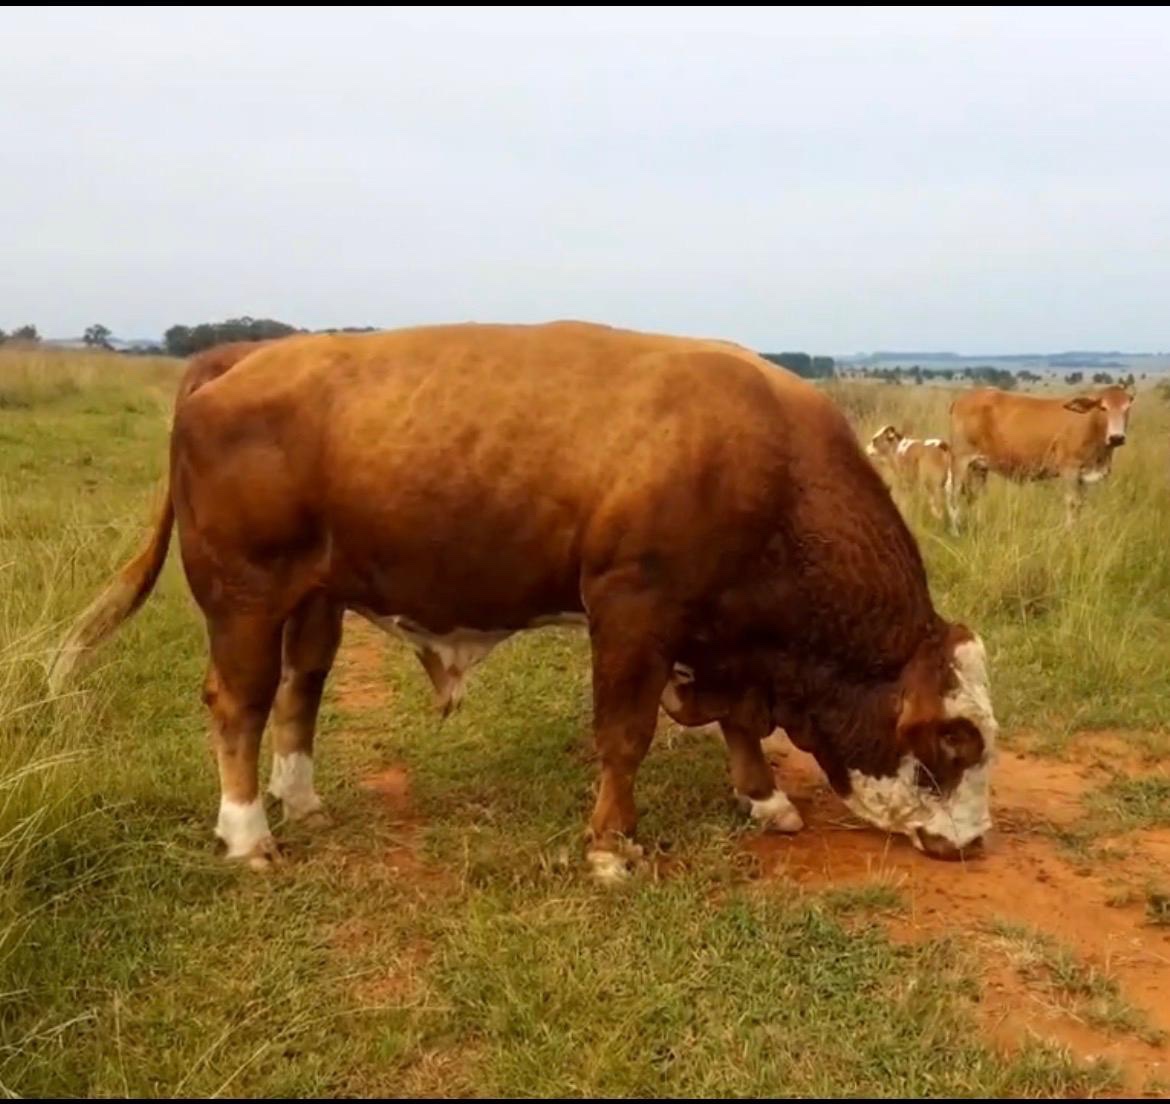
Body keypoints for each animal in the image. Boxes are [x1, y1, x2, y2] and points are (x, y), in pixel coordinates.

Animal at [50, 320, 999, 881]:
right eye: (955, 739)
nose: (975, 840)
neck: (770, 465)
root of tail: (237, 359)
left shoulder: (718, 632)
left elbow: (737, 721)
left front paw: (764, 800)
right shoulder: (635, 610)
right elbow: (625, 735)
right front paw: (611, 847)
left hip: (314, 597)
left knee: (299, 691)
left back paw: (302, 798)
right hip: (244, 596)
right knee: (238, 702)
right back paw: (249, 833)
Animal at [947, 384, 1136, 528]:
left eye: (1127, 408)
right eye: (1103, 408)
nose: (1117, 437)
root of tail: (963, 398)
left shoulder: (1083, 476)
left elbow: (1081, 504)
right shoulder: (1070, 470)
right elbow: (1072, 502)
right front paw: (1070, 533)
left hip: (979, 466)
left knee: (976, 496)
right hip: (960, 460)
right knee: (954, 495)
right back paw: (956, 529)